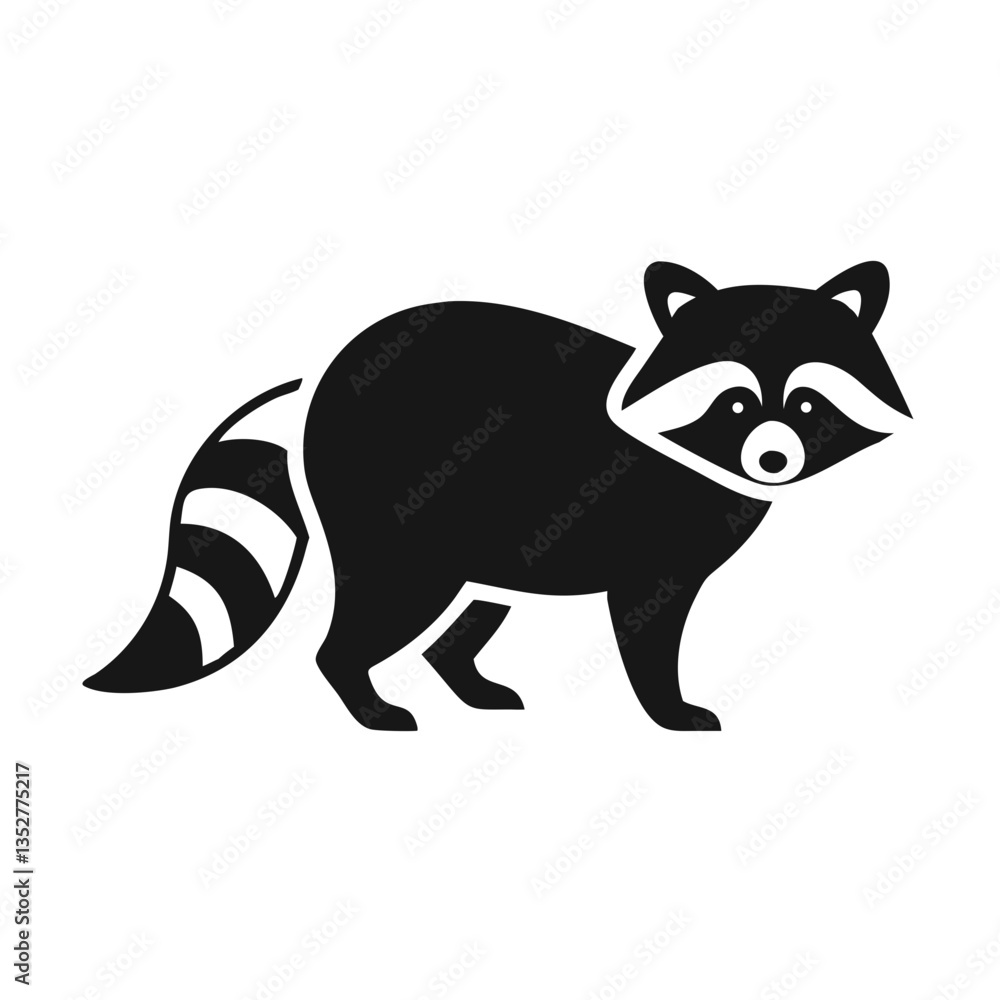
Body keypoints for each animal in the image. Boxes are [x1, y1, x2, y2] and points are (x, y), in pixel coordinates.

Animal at [84, 261, 910, 731]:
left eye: (807, 403)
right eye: (734, 402)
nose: (772, 459)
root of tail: (322, 375)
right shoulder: (651, 545)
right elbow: (648, 623)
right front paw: (665, 706)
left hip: (491, 532)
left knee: (471, 610)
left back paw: (462, 676)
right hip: (397, 516)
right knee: (379, 610)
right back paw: (366, 696)